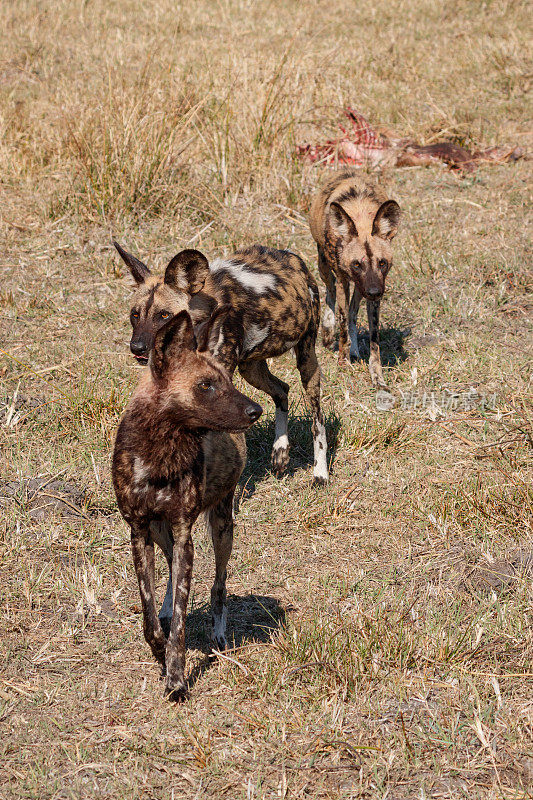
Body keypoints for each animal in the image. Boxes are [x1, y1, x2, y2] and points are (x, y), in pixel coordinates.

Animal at [112, 242, 328, 482]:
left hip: (307, 359)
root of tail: (294, 259)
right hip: (250, 369)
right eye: (135, 315)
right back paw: (280, 451)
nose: (137, 347)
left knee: (317, 419)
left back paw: (320, 473)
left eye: (164, 315)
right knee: (282, 390)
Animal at [112, 310, 262, 704]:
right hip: (161, 533)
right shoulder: (139, 533)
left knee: (218, 586)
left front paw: (176, 680)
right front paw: (159, 655)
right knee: (168, 574)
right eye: (206, 385)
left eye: (227, 381)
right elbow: (149, 616)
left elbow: (180, 623)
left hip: (221, 526)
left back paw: (219, 636)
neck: (160, 454)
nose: (255, 410)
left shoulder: (184, 535)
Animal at [308, 167, 400, 386]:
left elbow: (373, 338)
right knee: (331, 291)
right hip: (326, 268)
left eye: (382, 263)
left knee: (352, 312)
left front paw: (377, 375)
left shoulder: (373, 289)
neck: (361, 217)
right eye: (357, 264)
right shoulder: (344, 279)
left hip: (360, 287)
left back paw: (355, 350)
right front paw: (343, 362)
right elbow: (342, 322)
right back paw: (327, 331)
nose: (374, 292)